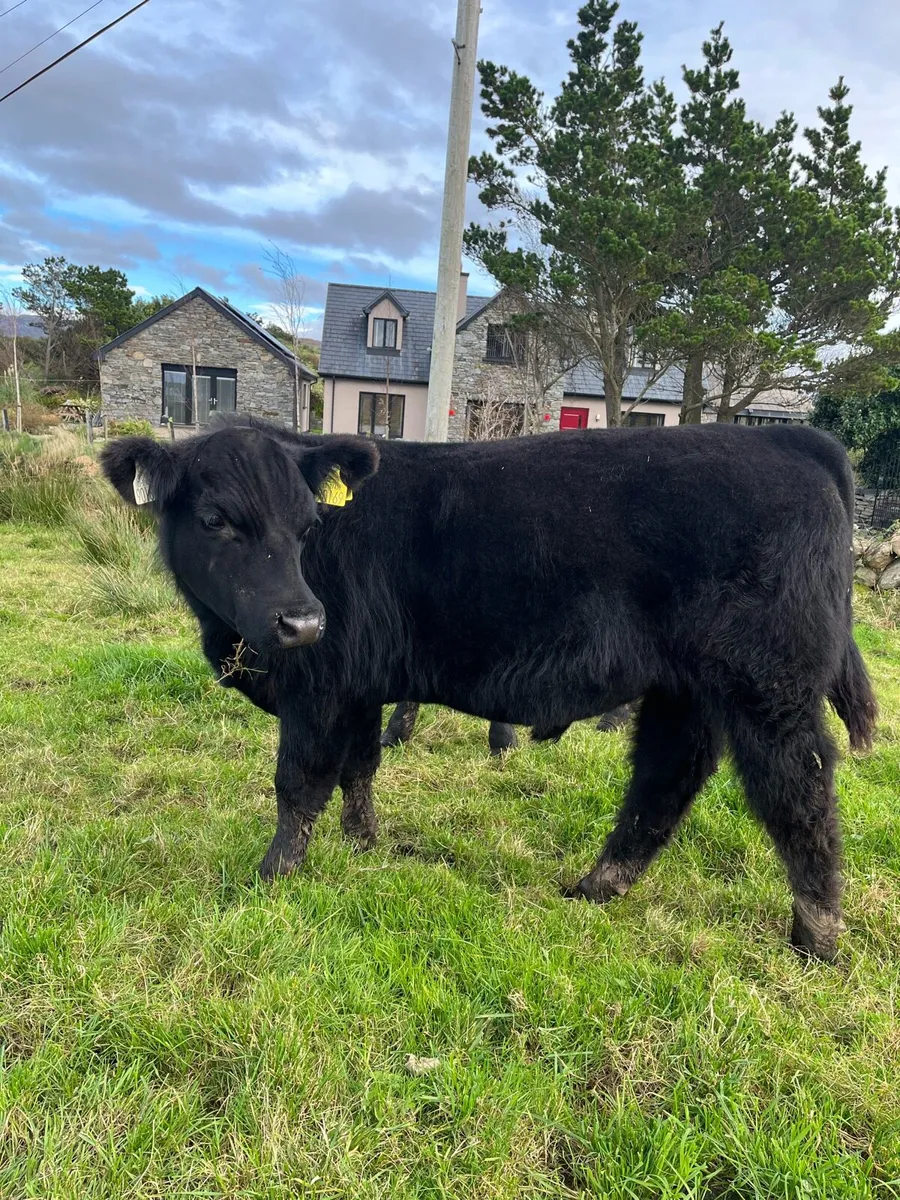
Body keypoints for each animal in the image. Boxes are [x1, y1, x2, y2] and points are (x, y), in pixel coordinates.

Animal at [100, 417, 877, 961]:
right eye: (214, 519)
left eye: (308, 523)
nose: (303, 621)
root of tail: (790, 438)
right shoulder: (359, 685)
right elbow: (360, 767)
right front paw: (364, 843)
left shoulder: (318, 688)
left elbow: (299, 783)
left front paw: (272, 877)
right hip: (685, 688)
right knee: (666, 777)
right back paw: (596, 887)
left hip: (769, 688)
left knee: (799, 795)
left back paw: (816, 938)